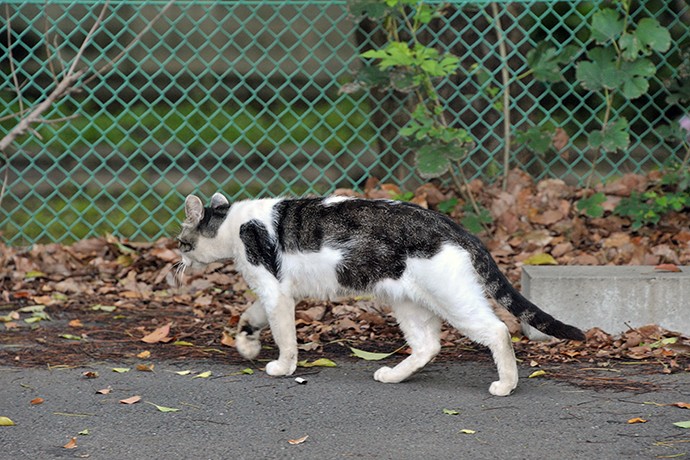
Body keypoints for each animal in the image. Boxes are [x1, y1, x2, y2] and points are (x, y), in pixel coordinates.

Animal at [176, 191, 580, 396]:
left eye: (181, 241)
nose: (176, 256)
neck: (233, 222)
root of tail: (452, 225)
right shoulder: (277, 292)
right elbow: (251, 315)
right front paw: (246, 344)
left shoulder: (275, 292)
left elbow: (285, 337)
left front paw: (282, 367)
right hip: (407, 302)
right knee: (428, 346)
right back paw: (394, 376)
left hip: (454, 299)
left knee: (498, 331)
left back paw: (506, 384)